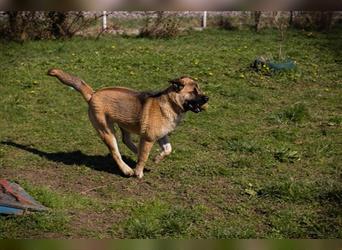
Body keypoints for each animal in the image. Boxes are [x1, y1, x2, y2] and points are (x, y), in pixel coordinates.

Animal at [47, 68, 208, 178]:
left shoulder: (162, 136)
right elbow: (143, 157)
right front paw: (138, 172)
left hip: (124, 124)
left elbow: (168, 149)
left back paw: (136, 153)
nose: (207, 98)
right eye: (194, 91)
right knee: (115, 152)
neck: (170, 103)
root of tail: (93, 94)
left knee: (126, 140)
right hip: (107, 131)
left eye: (199, 89)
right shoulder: (149, 138)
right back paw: (127, 170)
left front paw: (156, 158)